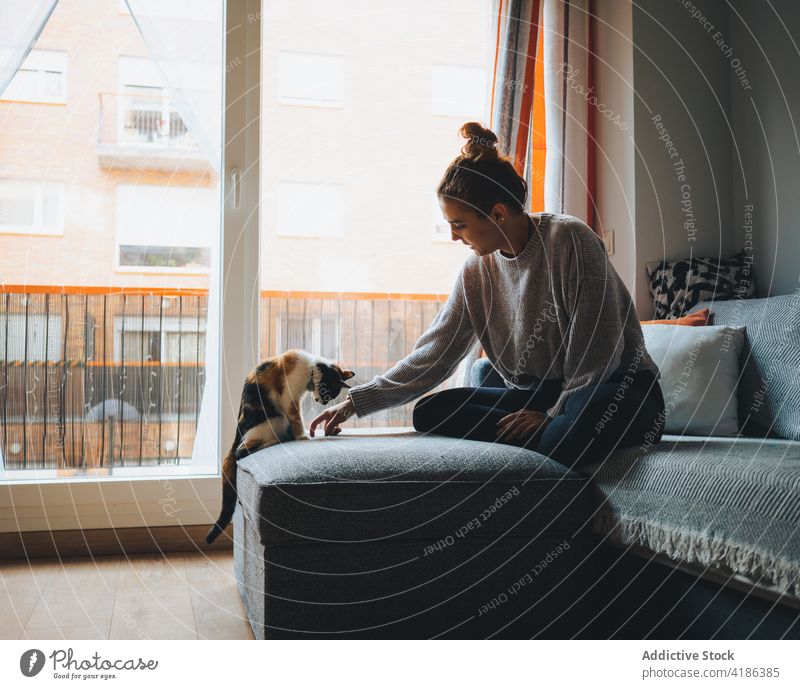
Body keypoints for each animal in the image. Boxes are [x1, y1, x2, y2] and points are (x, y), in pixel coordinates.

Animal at [205, 350, 354, 544]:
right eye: (327, 392)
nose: (320, 402)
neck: (311, 366)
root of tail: (238, 433)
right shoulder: (289, 399)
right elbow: (297, 418)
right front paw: (302, 436)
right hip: (276, 418)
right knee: (241, 452)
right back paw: (277, 441)